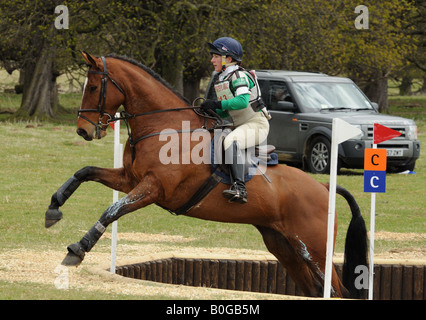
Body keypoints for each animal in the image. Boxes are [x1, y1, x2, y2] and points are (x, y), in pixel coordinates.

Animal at [45, 51, 366, 298]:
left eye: (93, 87)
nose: (83, 131)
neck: (164, 128)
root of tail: (324, 187)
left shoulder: (152, 188)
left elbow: (111, 211)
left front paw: (77, 249)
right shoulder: (130, 179)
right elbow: (84, 172)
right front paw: (53, 209)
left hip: (315, 250)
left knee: (336, 291)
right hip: (284, 246)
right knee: (314, 289)